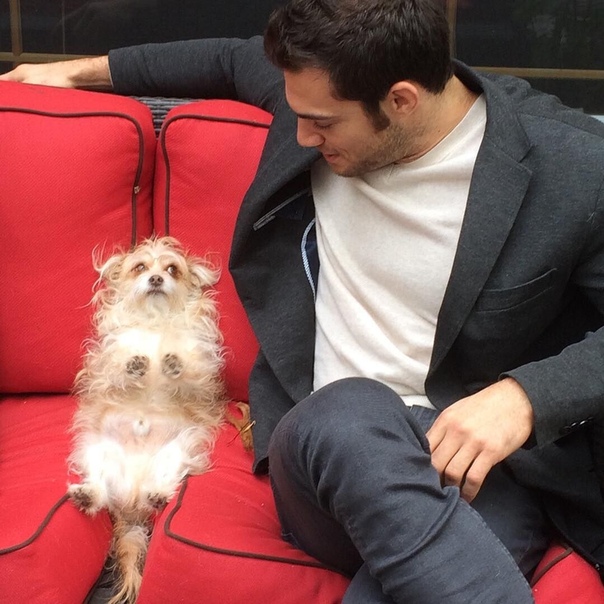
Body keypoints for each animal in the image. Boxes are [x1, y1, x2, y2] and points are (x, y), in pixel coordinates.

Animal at [67, 236, 226, 604]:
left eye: (172, 269)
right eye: (140, 267)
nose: (156, 279)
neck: (155, 322)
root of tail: (131, 503)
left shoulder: (201, 371)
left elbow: (190, 373)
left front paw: (172, 364)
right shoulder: (105, 365)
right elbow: (116, 371)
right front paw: (135, 366)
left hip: (179, 452)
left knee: (163, 482)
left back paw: (156, 494)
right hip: (98, 452)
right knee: (99, 488)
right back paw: (87, 496)